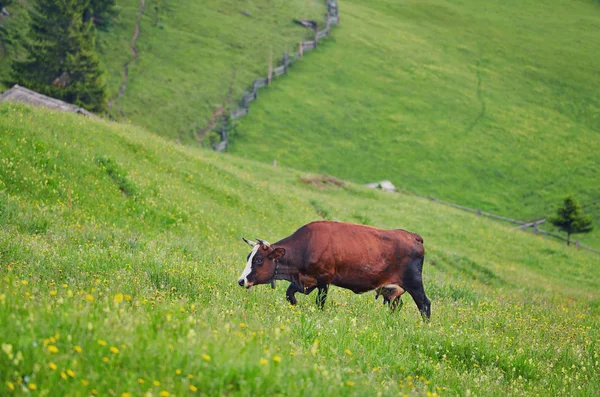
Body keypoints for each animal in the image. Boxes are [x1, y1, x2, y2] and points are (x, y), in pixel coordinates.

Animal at [237, 220, 428, 318]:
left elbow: (320, 302)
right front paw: (296, 304)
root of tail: (413, 236)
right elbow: (289, 294)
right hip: (394, 288)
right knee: (397, 304)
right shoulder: (307, 280)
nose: (241, 281)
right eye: (248, 257)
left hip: (414, 282)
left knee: (425, 305)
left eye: (259, 260)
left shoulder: (324, 279)